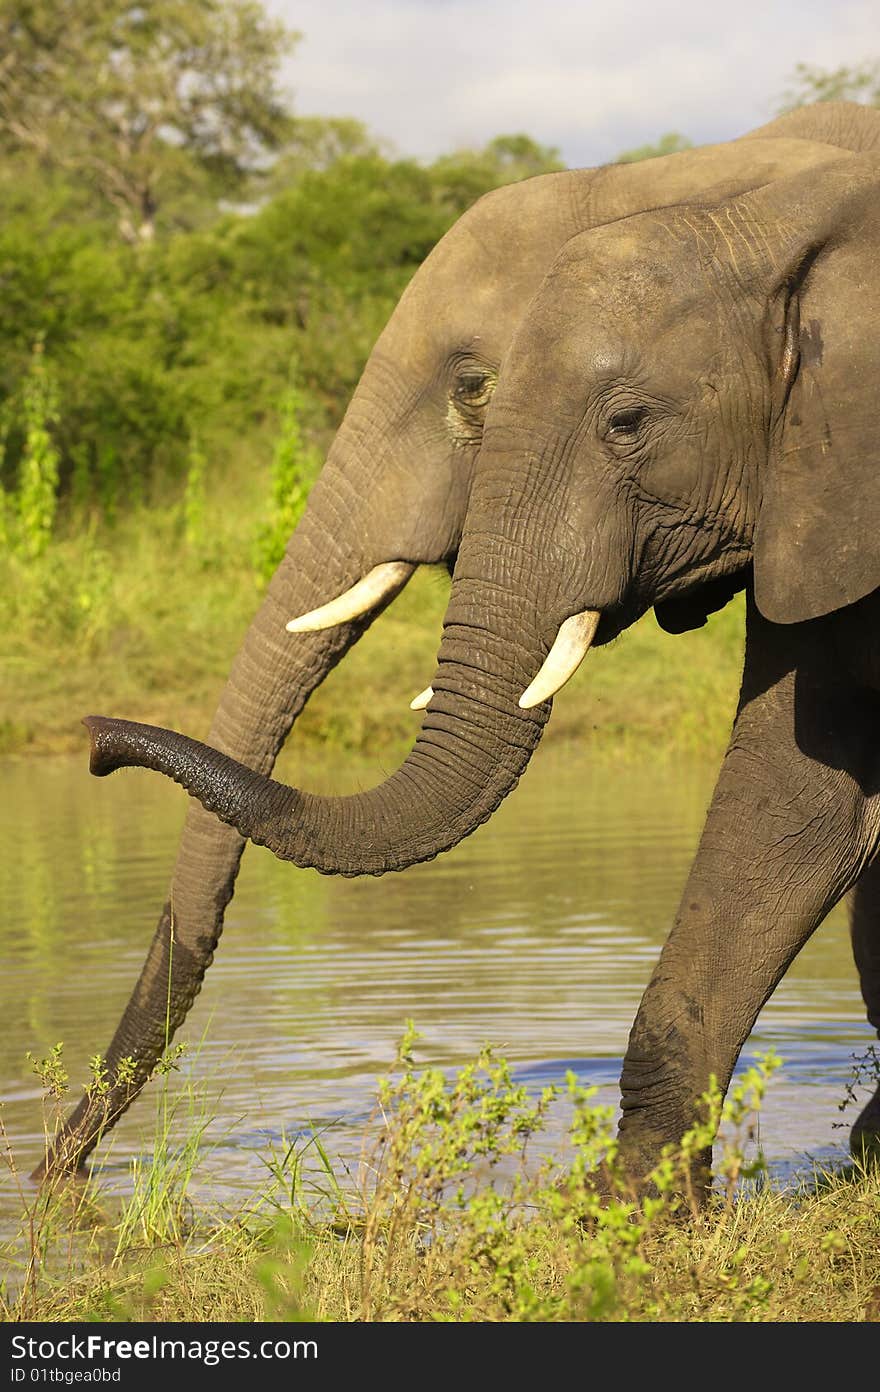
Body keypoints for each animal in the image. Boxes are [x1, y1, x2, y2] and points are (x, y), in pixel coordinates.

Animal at [37, 103, 880, 1180]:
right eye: (488, 394)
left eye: (626, 424)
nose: (56, 1172)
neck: (743, 189)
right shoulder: (817, 495)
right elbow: (803, 796)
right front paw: (630, 1208)